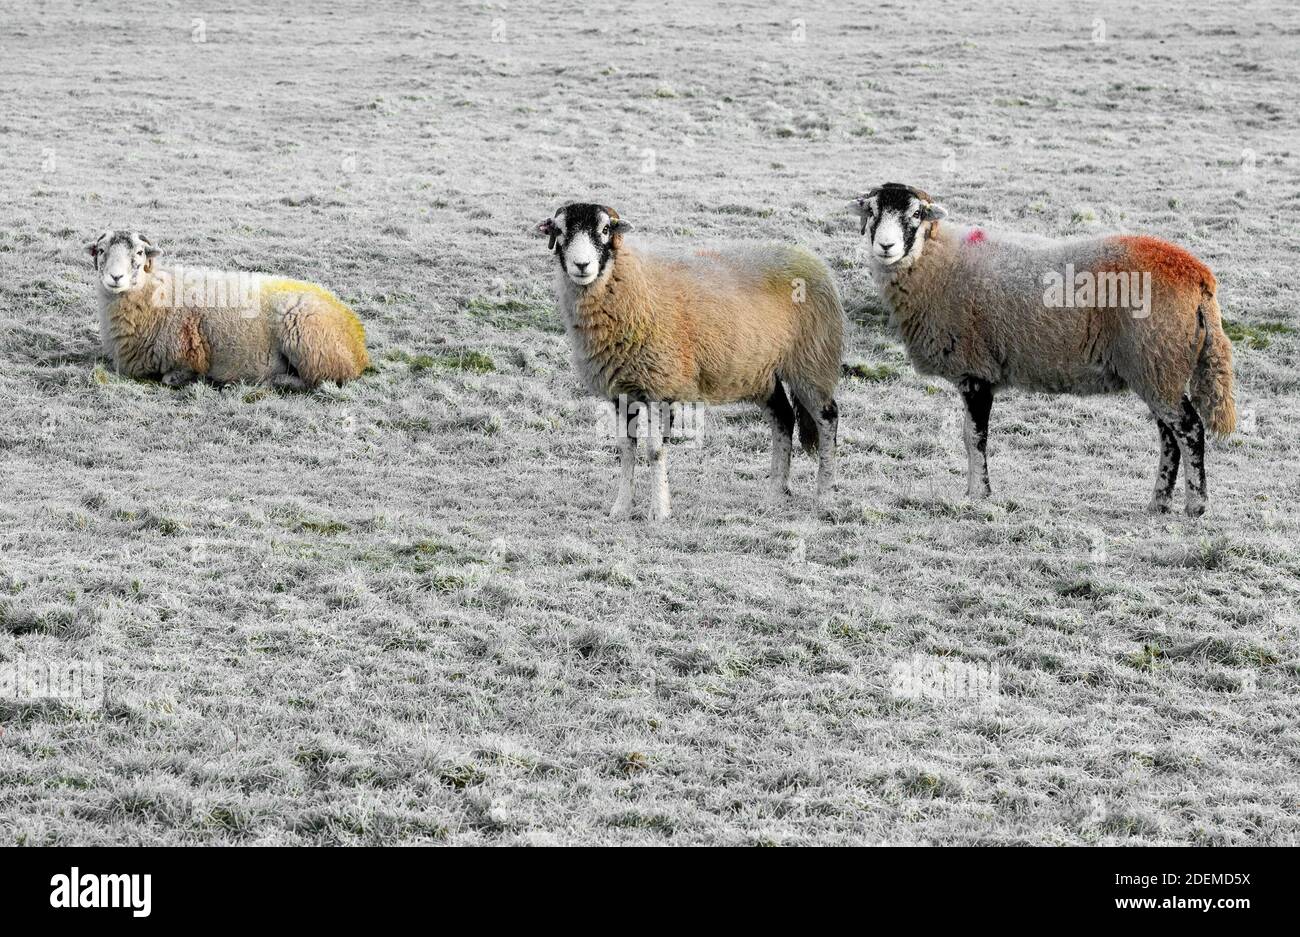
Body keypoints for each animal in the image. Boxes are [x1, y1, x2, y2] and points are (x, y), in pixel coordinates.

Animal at [535, 201, 842, 519]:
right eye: (560, 230)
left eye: (605, 229)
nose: (582, 265)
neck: (633, 285)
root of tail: (809, 258)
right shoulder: (620, 392)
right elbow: (626, 449)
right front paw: (621, 508)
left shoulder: (658, 386)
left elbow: (654, 451)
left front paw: (659, 512)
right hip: (763, 372)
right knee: (783, 418)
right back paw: (774, 495)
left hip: (812, 360)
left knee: (828, 418)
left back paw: (824, 496)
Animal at [847, 183, 1232, 514]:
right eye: (872, 211)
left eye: (915, 214)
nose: (885, 247)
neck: (938, 262)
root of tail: (1199, 277)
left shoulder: (975, 371)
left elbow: (974, 437)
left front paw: (978, 494)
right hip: (1157, 370)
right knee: (1169, 436)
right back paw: (1159, 503)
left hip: (1159, 362)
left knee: (1189, 429)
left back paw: (1195, 506)